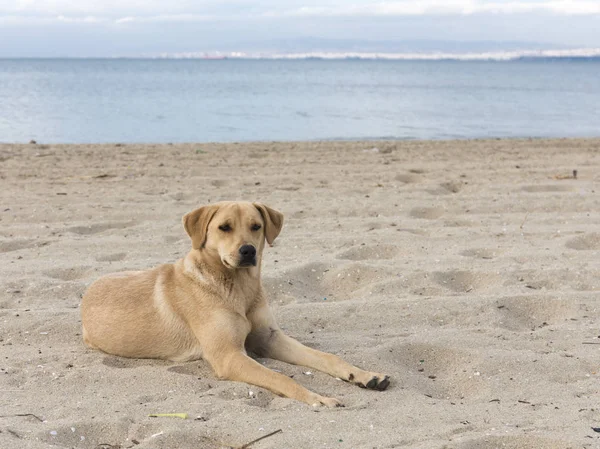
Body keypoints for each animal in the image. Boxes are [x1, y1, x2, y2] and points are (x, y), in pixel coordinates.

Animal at [81, 201, 390, 404]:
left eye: (256, 226)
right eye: (224, 227)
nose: (248, 251)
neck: (239, 288)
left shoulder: (269, 338)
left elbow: (327, 357)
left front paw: (364, 375)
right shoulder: (229, 356)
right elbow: (282, 377)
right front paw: (317, 397)